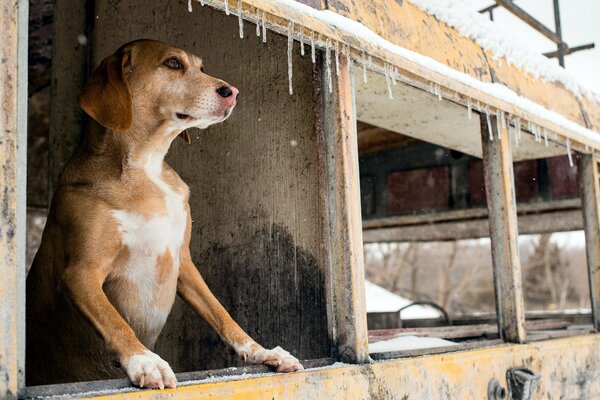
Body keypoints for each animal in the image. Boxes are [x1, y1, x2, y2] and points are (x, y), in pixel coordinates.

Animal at [25, 39, 302, 390]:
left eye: (201, 67)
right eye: (173, 63)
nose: (234, 92)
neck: (146, 166)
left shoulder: (183, 261)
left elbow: (221, 313)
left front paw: (261, 351)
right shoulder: (80, 273)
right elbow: (114, 321)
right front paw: (144, 360)